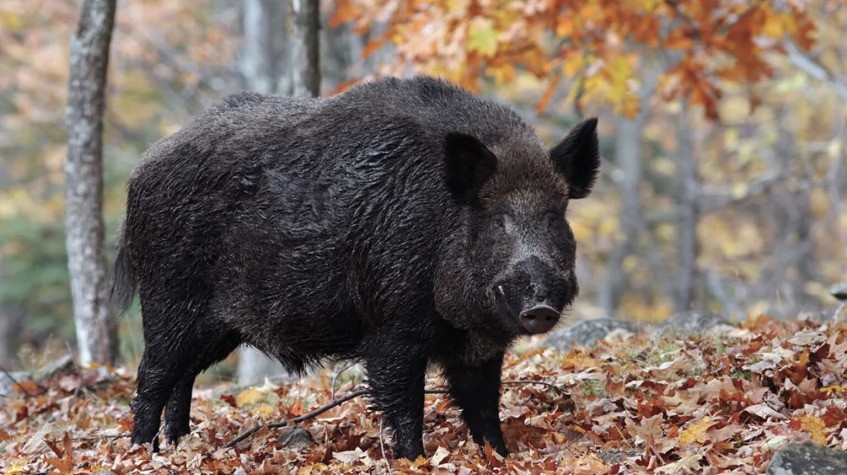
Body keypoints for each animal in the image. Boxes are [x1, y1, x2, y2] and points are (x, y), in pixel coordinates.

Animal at [111, 76, 600, 460]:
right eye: (497, 219)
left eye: (555, 216)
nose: (540, 306)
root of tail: (141, 170)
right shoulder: (392, 328)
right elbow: (403, 402)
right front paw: (413, 459)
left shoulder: (478, 347)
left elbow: (483, 406)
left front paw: (500, 456)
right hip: (168, 299)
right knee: (152, 375)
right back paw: (142, 452)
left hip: (216, 327)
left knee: (183, 377)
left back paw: (177, 445)